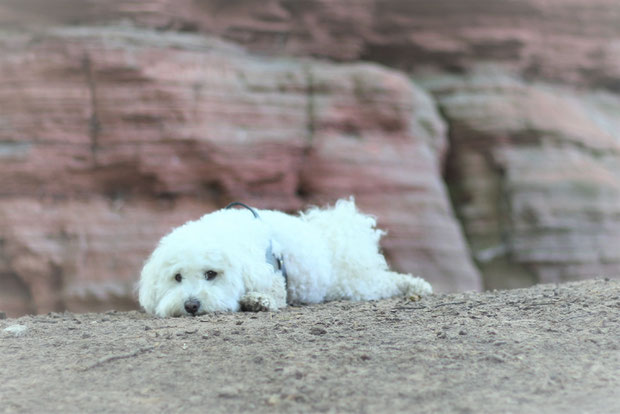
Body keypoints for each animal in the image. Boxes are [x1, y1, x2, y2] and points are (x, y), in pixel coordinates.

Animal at [140, 198, 432, 316]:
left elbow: (273, 293)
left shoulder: (273, 274)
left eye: (211, 274)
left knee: (387, 281)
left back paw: (417, 286)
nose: (190, 305)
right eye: (177, 277)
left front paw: (259, 300)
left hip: (352, 285)